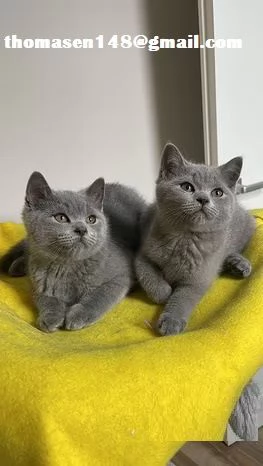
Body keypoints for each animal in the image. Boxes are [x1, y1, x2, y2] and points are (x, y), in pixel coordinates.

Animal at [23, 173, 139, 334]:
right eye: (61, 217)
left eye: (91, 219)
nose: (82, 229)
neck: (67, 266)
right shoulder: (37, 283)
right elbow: (46, 299)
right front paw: (50, 317)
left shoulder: (121, 276)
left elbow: (100, 296)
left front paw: (79, 315)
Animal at [137, 142, 258, 440]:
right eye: (187, 187)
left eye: (217, 192)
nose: (204, 199)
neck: (184, 239)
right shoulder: (141, 255)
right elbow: (150, 276)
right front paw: (162, 290)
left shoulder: (198, 279)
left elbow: (183, 297)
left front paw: (171, 320)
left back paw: (238, 264)